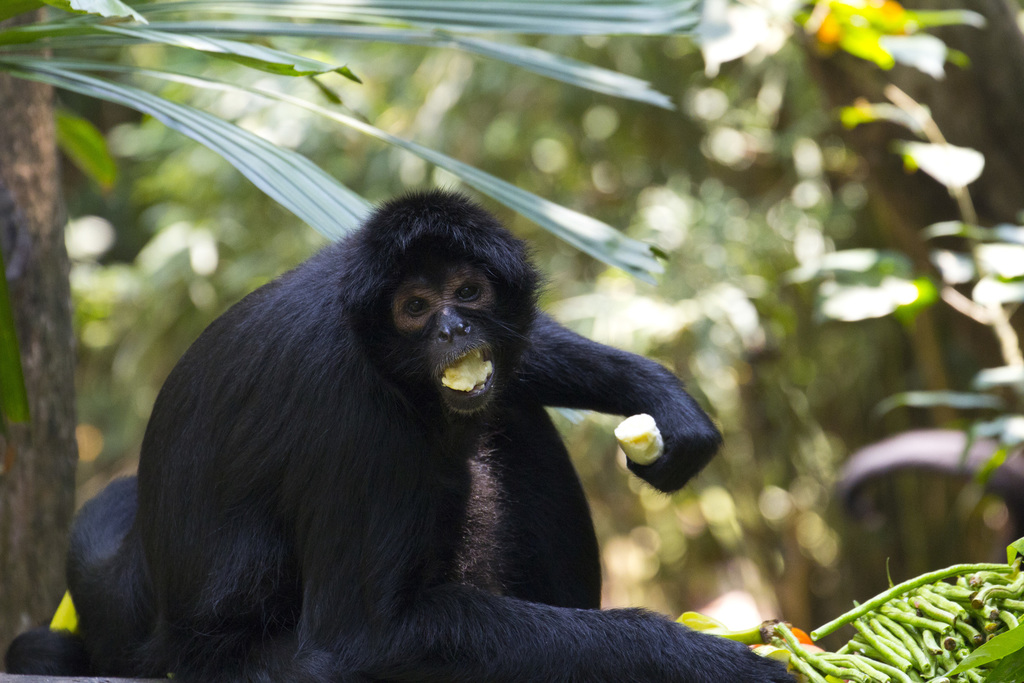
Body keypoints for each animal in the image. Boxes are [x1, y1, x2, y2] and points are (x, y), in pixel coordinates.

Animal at [6, 191, 790, 683]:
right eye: (415, 307)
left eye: (468, 292)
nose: (453, 330)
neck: (367, 335)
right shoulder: (354, 418)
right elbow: (365, 637)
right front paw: (708, 659)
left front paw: (658, 396)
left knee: (511, 412)